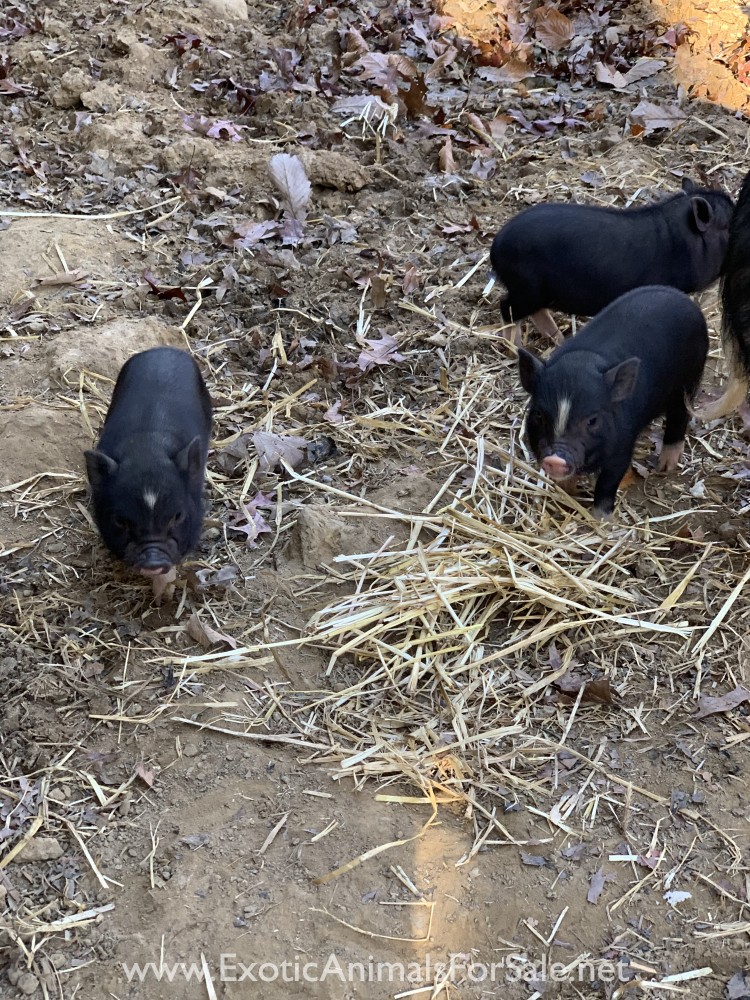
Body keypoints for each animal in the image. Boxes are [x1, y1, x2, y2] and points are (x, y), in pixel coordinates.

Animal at [491, 178, 733, 345]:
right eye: (729, 225)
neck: (684, 242)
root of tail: (495, 248)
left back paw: (559, 341)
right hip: (526, 288)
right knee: (506, 308)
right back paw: (515, 348)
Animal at [517, 285, 708, 517]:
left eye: (592, 420)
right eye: (538, 415)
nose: (554, 459)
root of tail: (681, 297)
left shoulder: (621, 447)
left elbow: (608, 483)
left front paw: (601, 518)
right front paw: (565, 498)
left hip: (690, 378)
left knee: (680, 415)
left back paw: (665, 467)